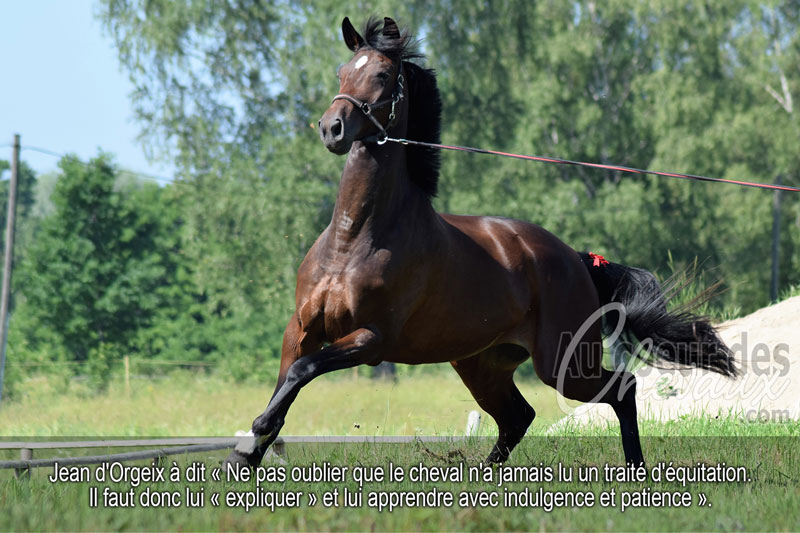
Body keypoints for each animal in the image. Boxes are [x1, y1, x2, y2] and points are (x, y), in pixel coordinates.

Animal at [224, 16, 736, 470]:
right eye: (342, 71)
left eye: (383, 74)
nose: (331, 128)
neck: (355, 239)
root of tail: (576, 259)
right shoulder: (301, 328)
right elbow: (286, 382)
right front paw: (244, 455)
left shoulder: (370, 339)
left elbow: (300, 374)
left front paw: (251, 439)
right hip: (482, 364)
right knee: (518, 416)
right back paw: (483, 475)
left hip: (564, 364)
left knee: (619, 390)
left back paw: (635, 470)